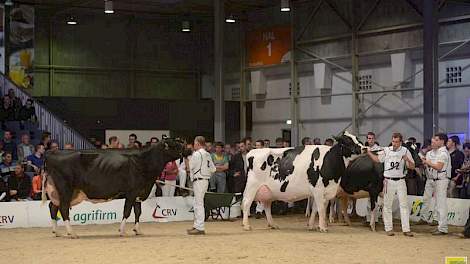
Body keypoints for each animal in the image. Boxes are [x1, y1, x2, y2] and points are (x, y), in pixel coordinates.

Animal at [42, 139, 185, 238]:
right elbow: (127, 211)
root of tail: (51, 152)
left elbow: (138, 212)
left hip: (59, 191)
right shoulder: (132, 191)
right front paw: (122, 231)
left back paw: (57, 232)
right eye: (175, 145)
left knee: (53, 206)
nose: (186, 150)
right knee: (63, 208)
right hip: (65, 188)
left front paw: (137, 230)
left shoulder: (138, 192)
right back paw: (72, 233)